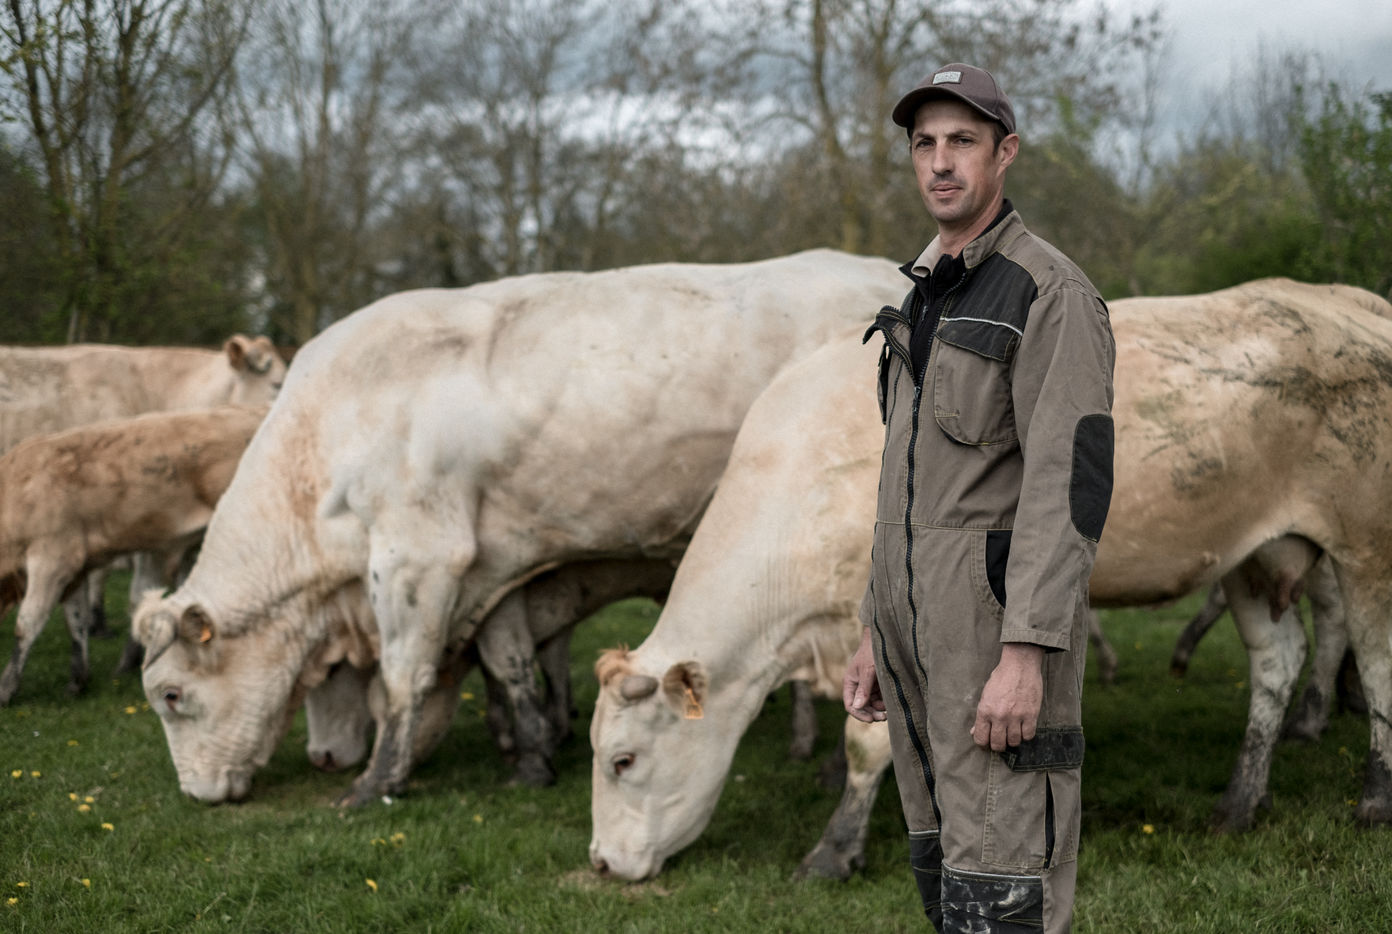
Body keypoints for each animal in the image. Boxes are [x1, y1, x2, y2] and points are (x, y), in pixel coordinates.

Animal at [0, 405, 267, 704]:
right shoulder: (76, 568)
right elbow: (76, 622)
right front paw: (77, 682)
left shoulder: (52, 559)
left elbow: (27, 624)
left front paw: (6, 689)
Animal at [132, 250, 905, 805]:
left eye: (171, 696)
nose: (195, 794)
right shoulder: (495, 566)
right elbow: (507, 663)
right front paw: (531, 752)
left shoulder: (420, 559)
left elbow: (403, 680)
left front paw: (376, 784)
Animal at [587, 278, 1392, 881]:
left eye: (624, 760)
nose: (600, 863)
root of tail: (1340, 303)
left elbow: (867, 748)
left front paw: (835, 849)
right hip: (1253, 555)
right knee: (1277, 663)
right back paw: (1239, 802)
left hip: (1364, 542)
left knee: (1377, 659)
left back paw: (1374, 799)